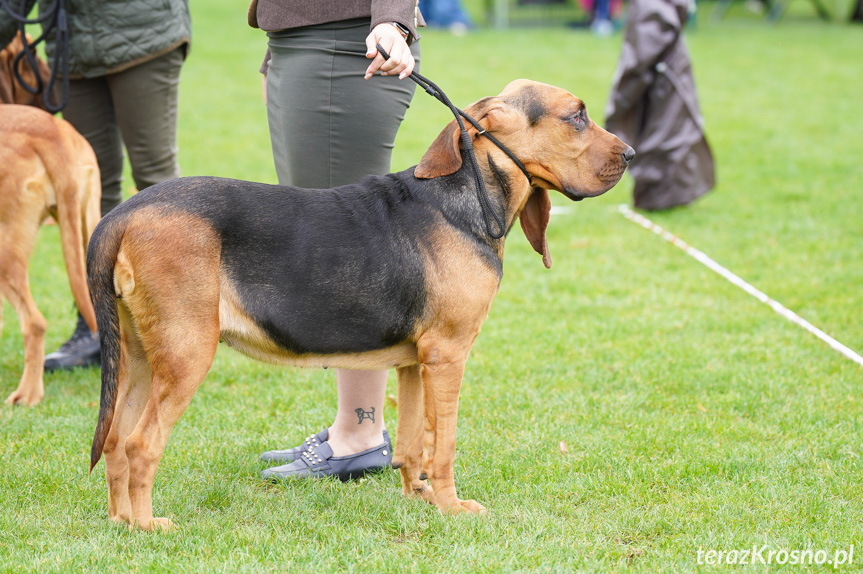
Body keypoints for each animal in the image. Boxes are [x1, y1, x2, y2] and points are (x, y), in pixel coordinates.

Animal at [84, 80, 632, 532]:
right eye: (577, 115)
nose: (629, 153)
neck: (466, 198)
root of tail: (123, 213)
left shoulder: (414, 363)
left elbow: (412, 446)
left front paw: (419, 498)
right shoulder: (449, 356)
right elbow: (445, 445)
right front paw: (453, 507)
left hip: (139, 356)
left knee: (115, 440)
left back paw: (120, 521)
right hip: (186, 355)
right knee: (141, 444)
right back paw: (148, 526)